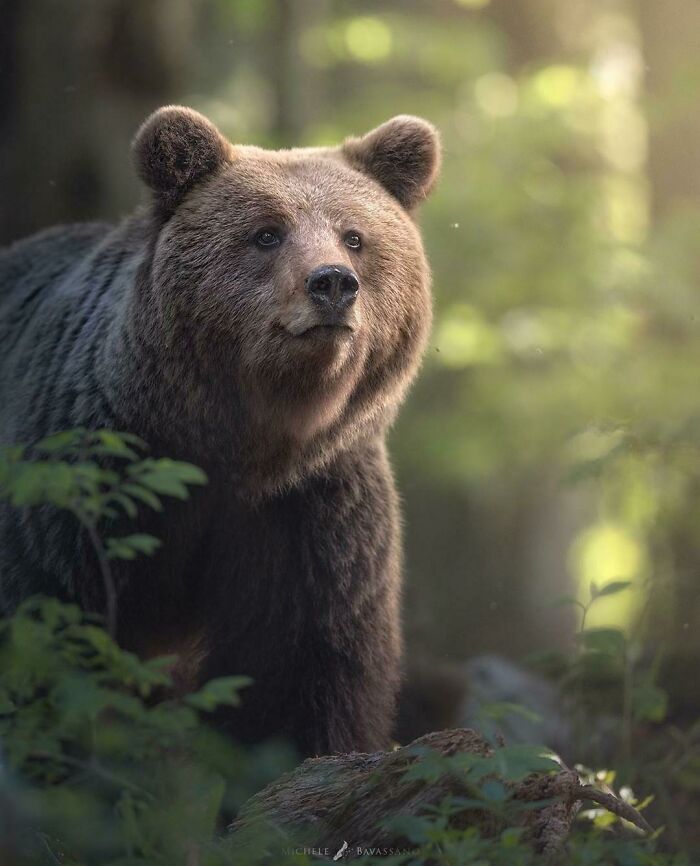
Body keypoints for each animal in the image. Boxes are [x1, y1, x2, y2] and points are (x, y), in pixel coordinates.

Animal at [0, 106, 438, 756]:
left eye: (355, 236)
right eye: (267, 233)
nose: (332, 283)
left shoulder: (311, 512)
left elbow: (302, 668)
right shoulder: (89, 483)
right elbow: (54, 627)